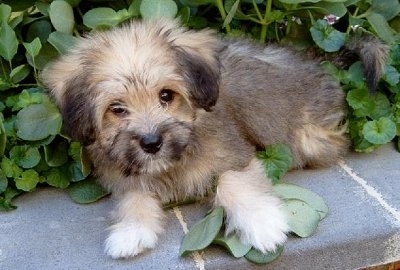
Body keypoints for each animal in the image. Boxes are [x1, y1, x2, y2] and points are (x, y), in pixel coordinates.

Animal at [41, 19, 388, 260]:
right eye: (117, 109)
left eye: (166, 95)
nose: (151, 143)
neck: (173, 164)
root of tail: (318, 64)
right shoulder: (125, 175)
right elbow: (133, 197)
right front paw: (130, 232)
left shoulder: (234, 155)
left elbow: (235, 183)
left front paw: (262, 224)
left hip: (308, 139)